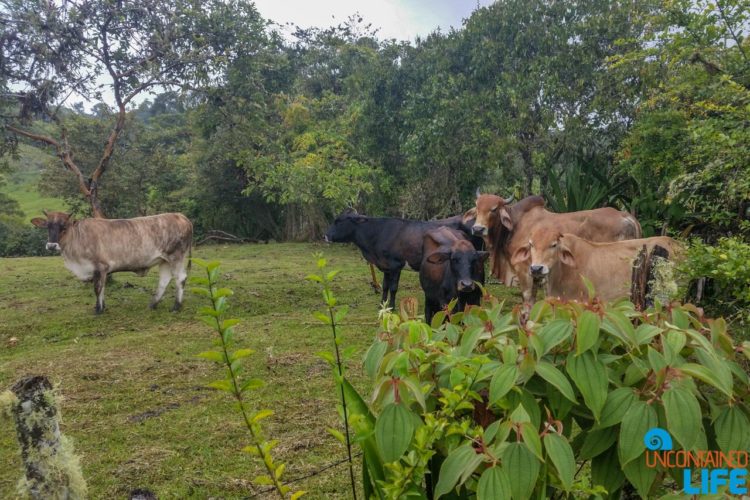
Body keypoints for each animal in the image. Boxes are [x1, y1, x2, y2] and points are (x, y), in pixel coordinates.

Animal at [31, 211, 194, 312]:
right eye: (48, 226)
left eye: (63, 226)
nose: (51, 245)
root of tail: (180, 216)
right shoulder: (101, 271)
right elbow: (102, 288)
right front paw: (102, 307)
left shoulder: (100, 267)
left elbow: (97, 288)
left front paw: (98, 310)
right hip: (164, 260)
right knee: (164, 280)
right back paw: (153, 304)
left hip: (176, 256)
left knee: (180, 278)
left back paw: (176, 307)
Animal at [324, 209, 478, 306]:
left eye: (338, 221)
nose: (325, 235)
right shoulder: (386, 266)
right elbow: (385, 286)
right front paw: (382, 304)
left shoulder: (395, 265)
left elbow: (393, 288)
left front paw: (391, 307)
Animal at [476, 193, 640, 302]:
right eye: (477, 207)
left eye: (494, 209)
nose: (477, 228)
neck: (516, 224)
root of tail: (625, 215)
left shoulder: (525, 271)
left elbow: (529, 299)